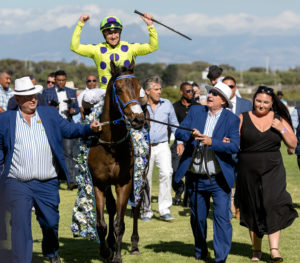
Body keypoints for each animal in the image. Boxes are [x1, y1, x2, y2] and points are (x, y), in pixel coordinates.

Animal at [87, 60, 147, 262]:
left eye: (138, 87)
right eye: (119, 89)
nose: (138, 120)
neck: (111, 145)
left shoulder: (124, 183)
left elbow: (119, 223)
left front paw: (118, 256)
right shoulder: (99, 183)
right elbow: (101, 223)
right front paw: (105, 250)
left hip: (141, 177)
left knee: (135, 207)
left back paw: (134, 244)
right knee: (112, 207)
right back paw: (111, 244)